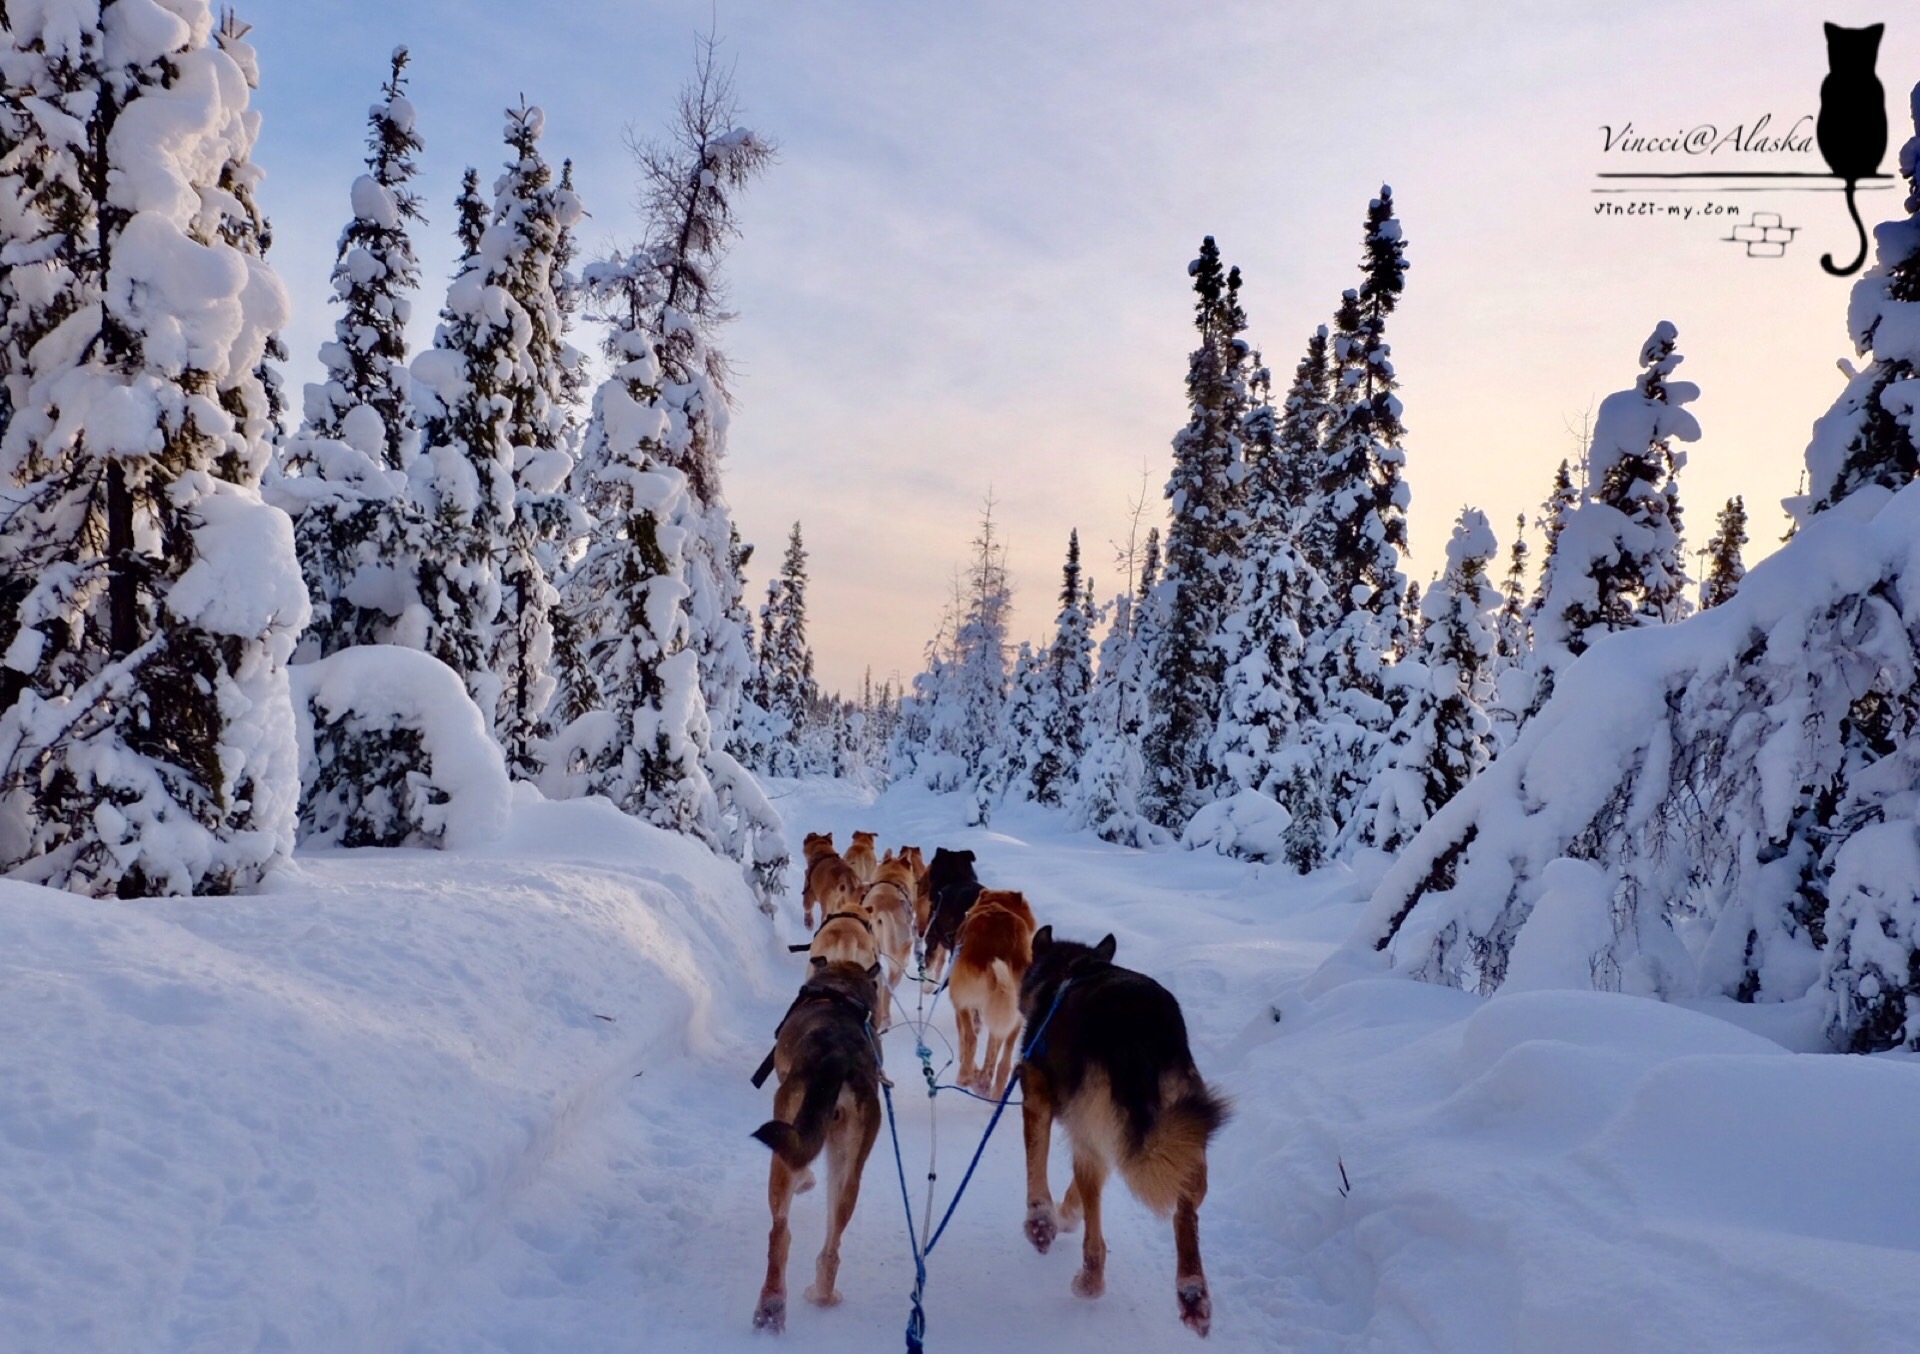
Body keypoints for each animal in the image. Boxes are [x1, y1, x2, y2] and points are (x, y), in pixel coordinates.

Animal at [748, 960, 883, 1329]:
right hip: (850, 1167)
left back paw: (771, 1304)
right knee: (832, 1246)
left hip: (784, 1139)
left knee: (780, 1233)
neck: (840, 990)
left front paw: (806, 1182)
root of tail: (837, 1057)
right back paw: (823, 1296)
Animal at [944, 887, 1036, 1098]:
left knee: (971, 1038)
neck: (998, 904)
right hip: (1013, 1012)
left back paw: (966, 1076)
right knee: (1004, 1059)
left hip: (961, 997)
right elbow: (994, 1048)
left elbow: (965, 1039)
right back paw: (989, 1087)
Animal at [1021, 925, 1228, 1336]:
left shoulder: (1036, 1095)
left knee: (1096, 1237)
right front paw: (1065, 1214)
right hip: (1186, 1131)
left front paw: (1043, 1221)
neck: (1071, 968)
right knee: (1185, 1214)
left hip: (1098, 1130)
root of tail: (1138, 1027)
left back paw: (1089, 1281)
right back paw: (1193, 1294)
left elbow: (1037, 1163)